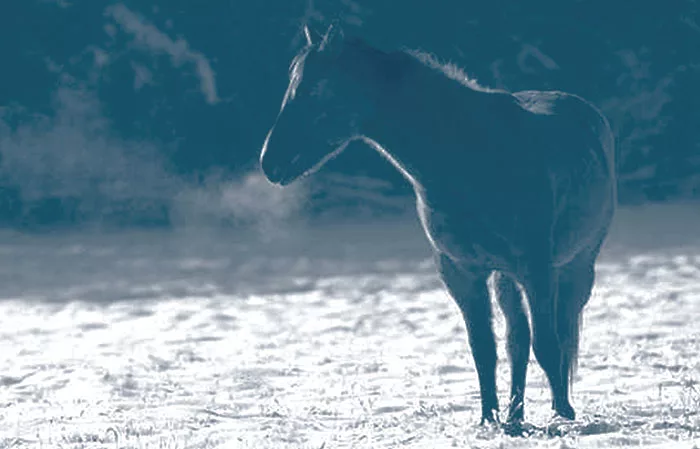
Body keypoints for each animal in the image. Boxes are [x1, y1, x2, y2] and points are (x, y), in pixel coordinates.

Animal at [259, 25, 617, 434]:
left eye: (315, 91)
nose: (269, 162)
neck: (471, 156)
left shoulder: (536, 270)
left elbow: (548, 345)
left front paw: (561, 417)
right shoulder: (462, 273)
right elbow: (484, 350)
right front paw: (488, 419)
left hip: (575, 266)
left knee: (558, 331)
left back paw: (555, 408)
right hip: (506, 277)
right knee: (517, 340)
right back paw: (514, 417)